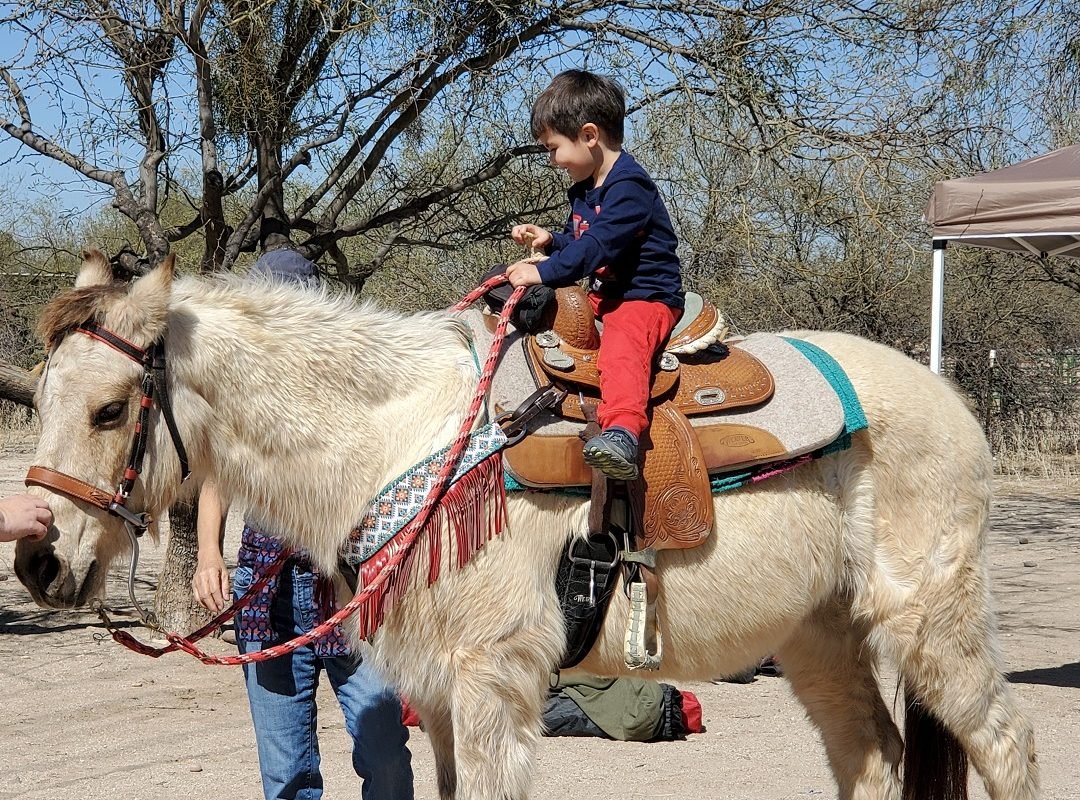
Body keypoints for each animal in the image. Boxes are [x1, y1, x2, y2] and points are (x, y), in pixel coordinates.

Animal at [15, 251, 1037, 800]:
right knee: (873, 758)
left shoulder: (493, 682)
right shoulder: (436, 693)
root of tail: (948, 399)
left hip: (931, 623)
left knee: (1006, 747)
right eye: (43, 397)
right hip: (820, 637)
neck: (404, 434)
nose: (37, 561)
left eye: (111, 410)